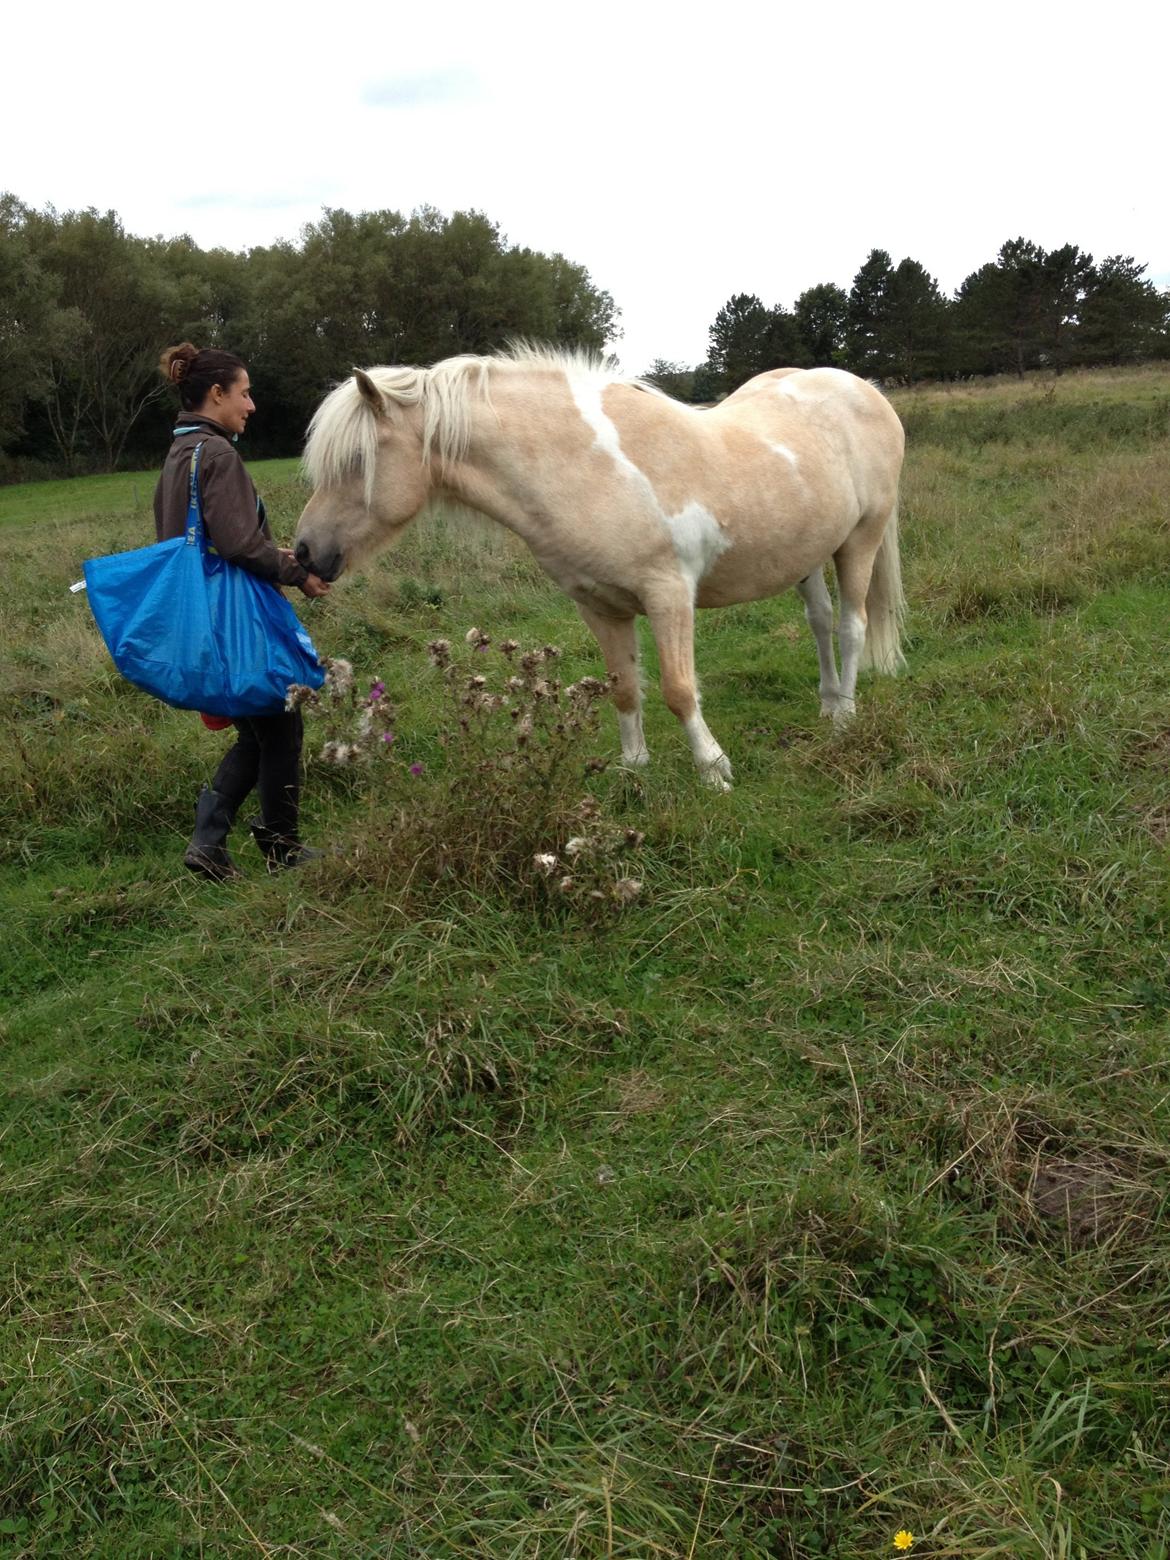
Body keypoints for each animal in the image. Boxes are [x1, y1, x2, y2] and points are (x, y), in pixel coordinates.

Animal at [293, 346, 904, 786]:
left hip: (862, 538)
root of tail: (865, 390)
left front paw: (713, 771)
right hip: (808, 555)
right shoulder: (600, 607)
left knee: (851, 627)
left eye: (356, 461)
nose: (303, 553)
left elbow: (679, 690)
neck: (587, 468)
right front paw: (633, 769)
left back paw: (845, 718)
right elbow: (625, 690)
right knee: (820, 623)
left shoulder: (668, 596)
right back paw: (827, 705)